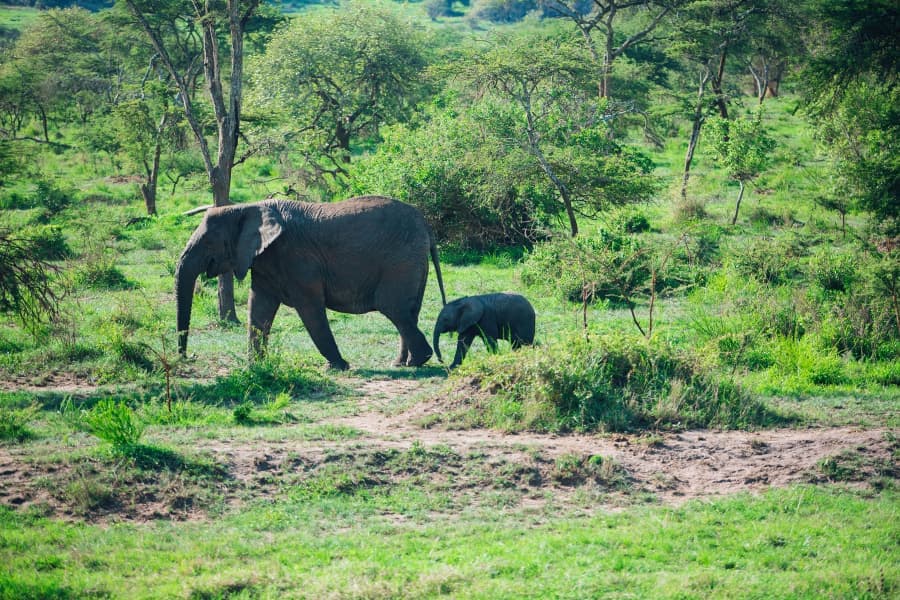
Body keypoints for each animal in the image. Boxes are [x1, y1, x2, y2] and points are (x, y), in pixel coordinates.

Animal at [175, 196, 446, 370]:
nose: (188, 357)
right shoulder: (264, 260)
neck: (247, 207)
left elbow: (310, 309)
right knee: (407, 312)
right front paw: (255, 367)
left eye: (209, 242)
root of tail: (425, 225)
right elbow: (259, 309)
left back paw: (417, 361)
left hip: (400, 261)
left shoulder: (296, 259)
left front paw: (338, 367)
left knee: (392, 307)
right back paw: (402, 364)